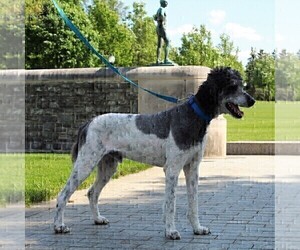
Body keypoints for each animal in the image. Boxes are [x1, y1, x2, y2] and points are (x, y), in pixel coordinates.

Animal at [54, 67, 255, 240]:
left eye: (241, 84)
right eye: (232, 86)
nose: (252, 100)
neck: (193, 116)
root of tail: (88, 123)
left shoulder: (192, 168)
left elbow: (193, 202)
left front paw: (197, 228)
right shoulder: (172, 170)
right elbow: (171, 203)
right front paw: (171, 231)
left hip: (108, 166)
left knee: (92, 193)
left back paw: (97, 219)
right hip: (85, 164)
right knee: (63, 195)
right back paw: (59, 226)